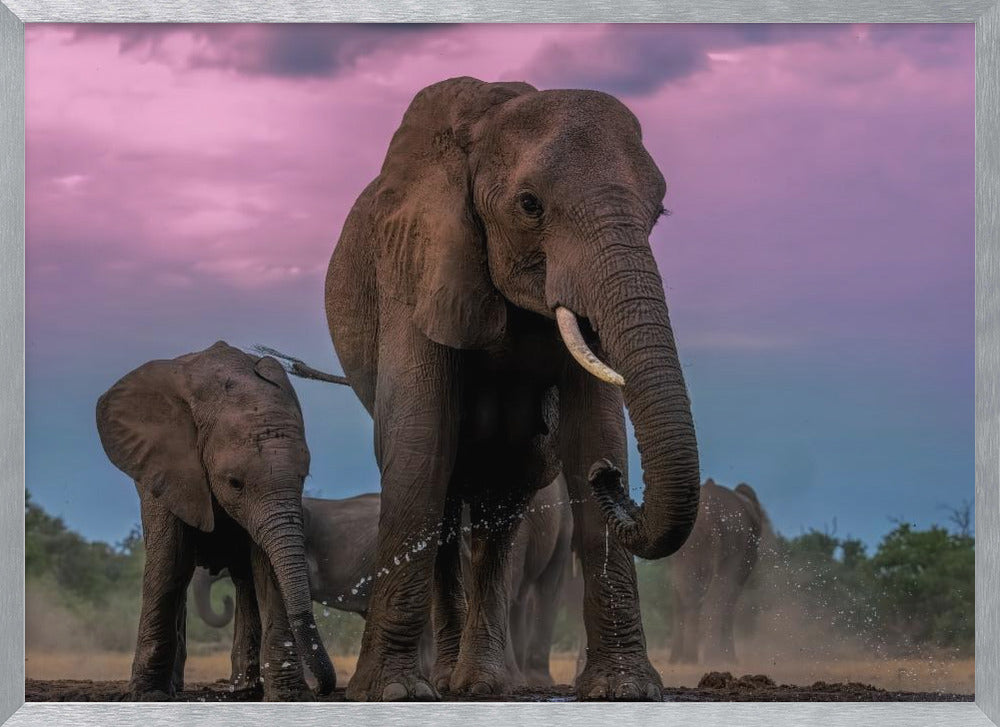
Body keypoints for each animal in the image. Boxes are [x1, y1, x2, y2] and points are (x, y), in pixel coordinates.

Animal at [95, 341, 336, 700]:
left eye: (303, 476)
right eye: (235, 483)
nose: (321, 687)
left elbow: (267, 569)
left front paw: (289, 697)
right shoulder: (167, 468)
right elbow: (170, 563)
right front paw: (148, 696)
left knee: (245, 581)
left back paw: (245, 688)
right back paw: (178, 688)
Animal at [323, 76, 701, 701]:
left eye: (659, 211)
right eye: (529, 206)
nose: (609, 480)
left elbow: (595, 429)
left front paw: (625, 690)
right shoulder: (414, 261)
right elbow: (420, 442)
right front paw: (391, 693)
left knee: (503, 503)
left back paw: (480, 683)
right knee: (446, 491)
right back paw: (446, 681)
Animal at [667, 479, 769, 665]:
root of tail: (707, 517)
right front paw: (728, 660)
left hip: (686, 549)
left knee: (685, 594)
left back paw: (686, 660)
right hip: (730, 544)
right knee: (716, 595)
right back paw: (712, 659)